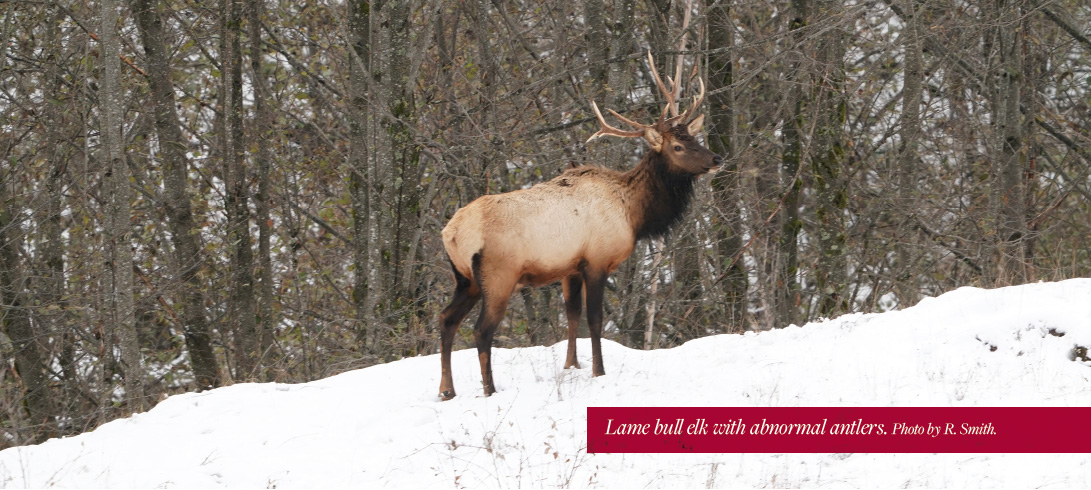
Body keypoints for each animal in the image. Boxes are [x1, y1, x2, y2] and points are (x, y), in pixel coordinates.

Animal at [437, 52, 722, 400]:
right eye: (678, 147)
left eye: (693, 137)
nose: (716, 159)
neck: (634, 214)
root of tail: (451, 233)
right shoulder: (596, 260)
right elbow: (594, 319)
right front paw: (599, 370)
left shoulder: (569, 268)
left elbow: (572, 316)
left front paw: (572, 365)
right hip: (497, 275)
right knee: (481, 330)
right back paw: (489, 389)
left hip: (465, 279)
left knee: (447, 320)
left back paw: (447, 389)